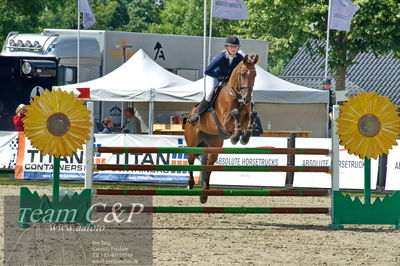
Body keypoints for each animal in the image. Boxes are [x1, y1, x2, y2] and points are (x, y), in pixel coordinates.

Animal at [184, 54, 258, 204]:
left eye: (255, 75)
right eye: (243, 74)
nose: (247, 99)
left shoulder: (246, 117)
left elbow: (250, 116)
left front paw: (244, 137)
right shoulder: (224, 121)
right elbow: (234, 114)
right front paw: (235, 136)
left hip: (214, 146)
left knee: (209, 166)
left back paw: (205, 192)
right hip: (192, 142)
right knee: (191, 160)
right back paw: (190, 184)